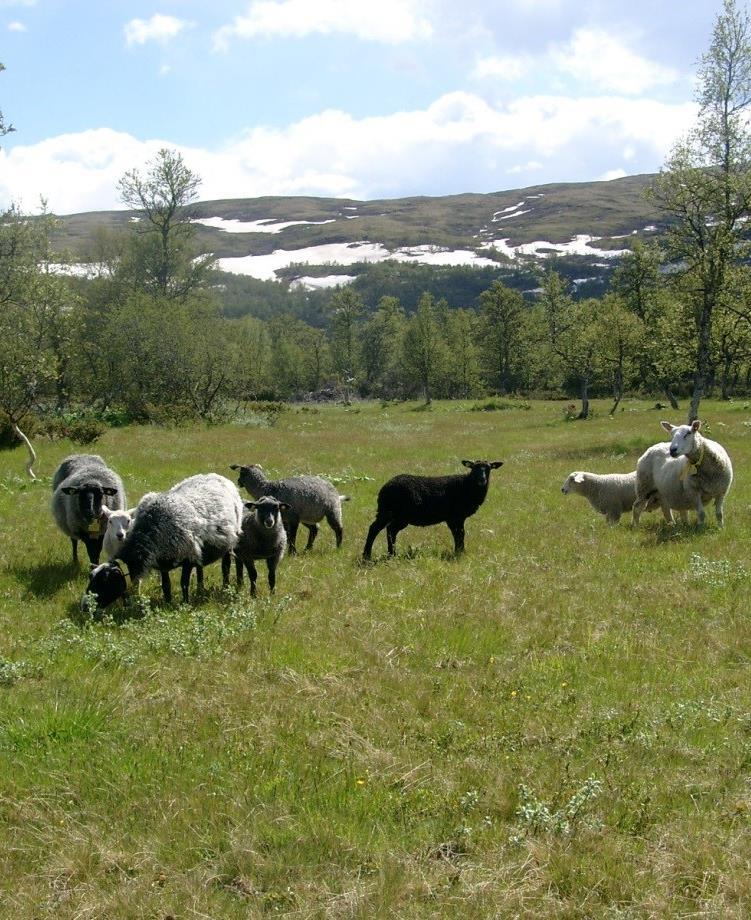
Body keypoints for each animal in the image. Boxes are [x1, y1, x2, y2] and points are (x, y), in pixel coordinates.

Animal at [85, 474, 244, 612]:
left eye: (105, 580)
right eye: (91, 576)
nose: (84, 607)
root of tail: (217, 476)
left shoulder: (187, 557)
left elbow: (184, 583)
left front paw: (184, 604)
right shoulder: (163, 561)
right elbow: (166, 586)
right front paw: (167, 603)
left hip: (229, 541)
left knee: (226, 566)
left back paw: (225, 587)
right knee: (200, 567)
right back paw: (200, 589)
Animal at [364, 460, 506, 560]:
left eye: (488, 468)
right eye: (474, 468)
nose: (482, 480)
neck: (466, 485)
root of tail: (384, 487)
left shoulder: (455, 518)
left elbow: (459, 534)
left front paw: (460, 551)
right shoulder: (455, 517)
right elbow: (459, 534)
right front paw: (459, 553)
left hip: (401, 517)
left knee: (391, 530)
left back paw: (392, 554)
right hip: (388, 512)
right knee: (374, 529)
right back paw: (367, 556)